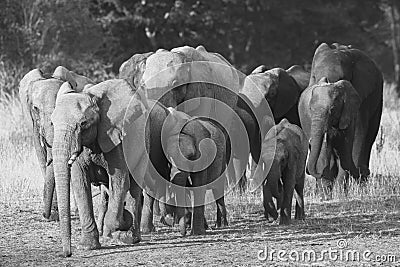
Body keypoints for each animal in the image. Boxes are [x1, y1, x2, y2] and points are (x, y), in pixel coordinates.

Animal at [300, 42, 384, 195]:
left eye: (342, 77)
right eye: (314, 77)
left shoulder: (360, 98)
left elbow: (357, 135)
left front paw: (342, 192)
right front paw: (325, 193)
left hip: (378, 100)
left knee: (369, 137)